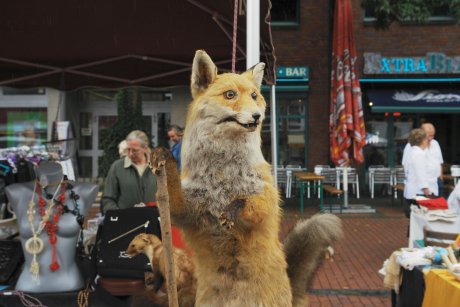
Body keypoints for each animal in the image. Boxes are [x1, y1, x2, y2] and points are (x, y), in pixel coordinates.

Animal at [149, 51, 344, 307]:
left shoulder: (266, 196)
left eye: (254, 96)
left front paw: (231, 210)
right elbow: (172, 195)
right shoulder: (187, 210)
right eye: (230, 95)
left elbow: (248, 203)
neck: (222, 176)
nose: (258, 116)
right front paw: (163, 156)